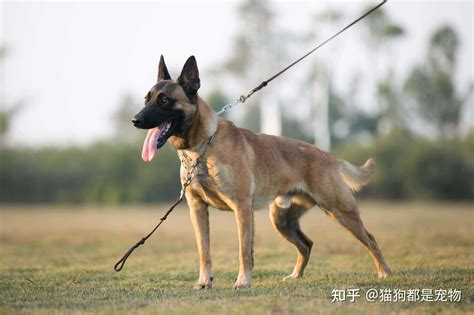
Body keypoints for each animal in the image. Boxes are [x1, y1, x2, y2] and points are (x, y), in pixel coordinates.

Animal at [131, 56, 390, 288]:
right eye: (147, 99)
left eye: (165, 101)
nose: (135, 120)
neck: (202, 147)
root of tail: (325, 154)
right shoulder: (197, 209)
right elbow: (204, 252)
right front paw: (204, 282)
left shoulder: (242, 208)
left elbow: (244, 251)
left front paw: (243, 282)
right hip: (282, 220)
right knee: (306, 244)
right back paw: (295, 276)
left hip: (340, 211)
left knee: (370, 239)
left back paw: (385, 272)